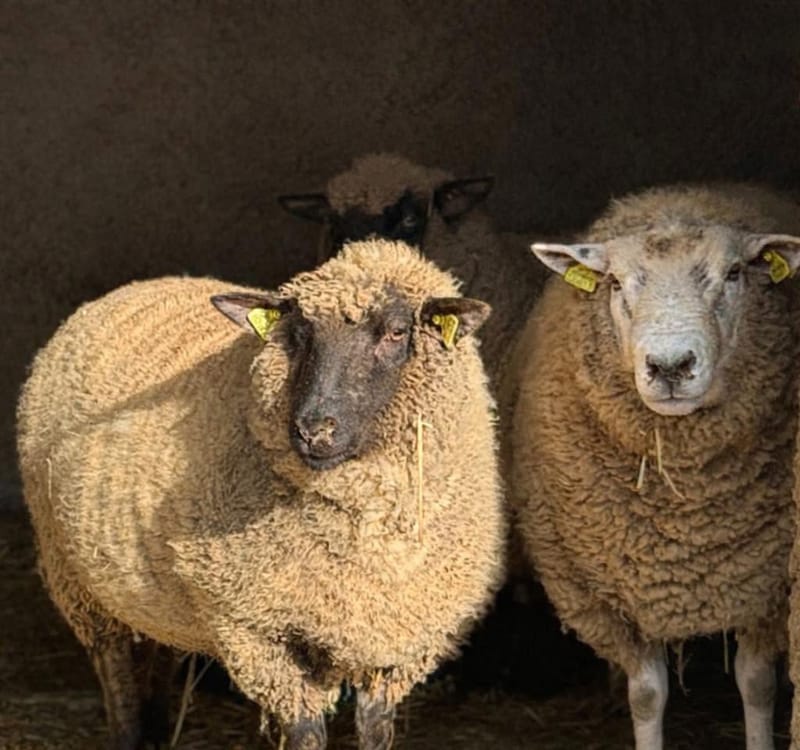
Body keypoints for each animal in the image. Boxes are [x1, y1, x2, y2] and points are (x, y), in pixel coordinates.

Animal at [16, 239, 506, 750]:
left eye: (395, 332)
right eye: (298, 335)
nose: (313, 430)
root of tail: (136, 287)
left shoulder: (396, 644)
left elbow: (375, 732)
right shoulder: (255, 631)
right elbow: (305, 735)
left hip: (154, 592)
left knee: (160, 654)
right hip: (75, 577)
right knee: (115, 673)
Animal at [509, 183, 800, 750]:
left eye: (735, 273)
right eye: (615, 282)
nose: (670, 366)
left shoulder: (765, 588)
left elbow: (757, 684)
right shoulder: (612, 595)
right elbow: (647, 694)